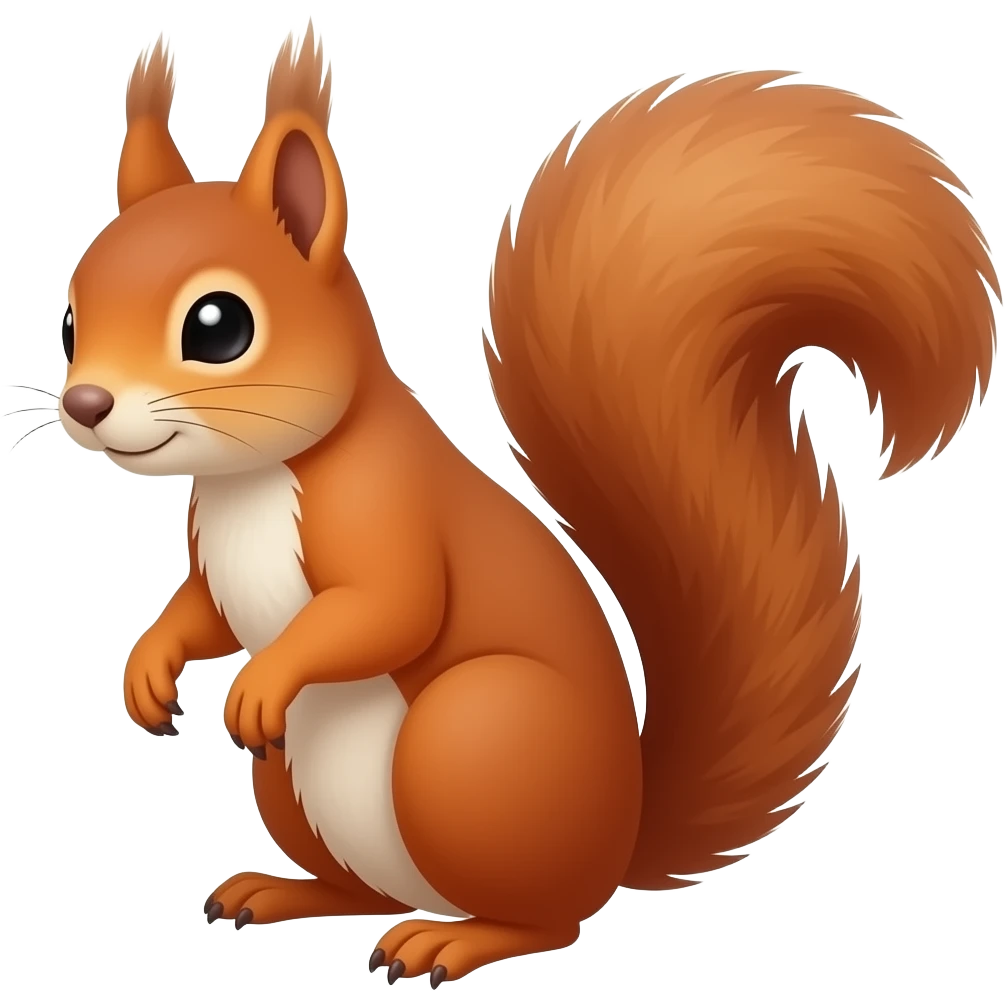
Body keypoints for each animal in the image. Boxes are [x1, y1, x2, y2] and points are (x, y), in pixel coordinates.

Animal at [59, 21, 998, 988]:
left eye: (219, 327)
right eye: (68, 323)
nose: (86, 403)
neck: (249, 479)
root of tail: (619, 841)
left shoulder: (385, 508)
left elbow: (389, 607)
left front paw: (260, 682)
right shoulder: (214, 559)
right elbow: (203, 611)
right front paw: (148, 668)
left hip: (472, 737)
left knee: (546, 919)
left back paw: (452, 939)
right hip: (293, 785)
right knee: (365, 889)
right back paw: (284, 891)